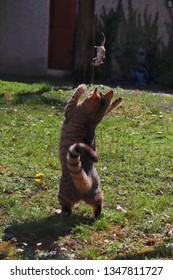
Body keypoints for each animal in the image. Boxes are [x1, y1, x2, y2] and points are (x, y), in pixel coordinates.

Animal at [58, 85, 123, 219]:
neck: (91, 119)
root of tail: (85, 181)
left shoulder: (69, 109)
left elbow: (76, 94)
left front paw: (82, 87)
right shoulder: (103, 113)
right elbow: (108, 108)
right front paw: (117, 101)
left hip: (63, 196)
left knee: (67, 210)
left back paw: (60, 212)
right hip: (98, 194)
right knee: (98, 207)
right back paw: (95, 216)